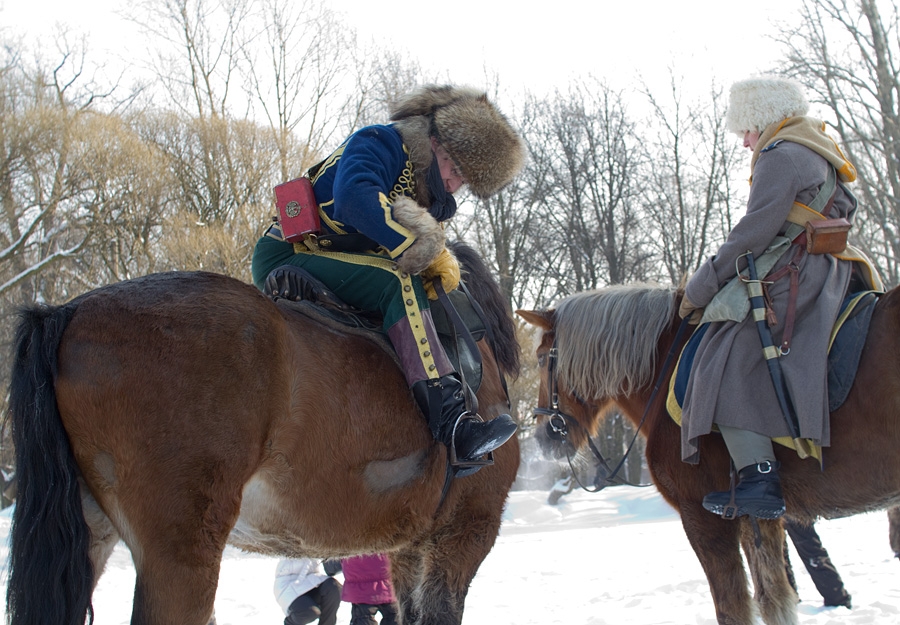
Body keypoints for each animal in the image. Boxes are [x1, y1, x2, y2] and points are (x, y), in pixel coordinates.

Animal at [516, 282, 900, 624]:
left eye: (541, 359)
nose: (544, 436)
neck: (667, 370)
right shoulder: (758, 519)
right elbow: (774, 602)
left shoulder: (704, 516)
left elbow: (733, 609)